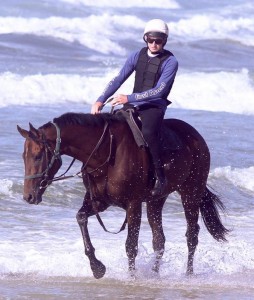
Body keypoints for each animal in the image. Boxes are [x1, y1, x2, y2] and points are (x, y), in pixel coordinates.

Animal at [17, 112, 228, 278]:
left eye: (37, 156)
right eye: (23, 156)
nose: (28, 197)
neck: (105, 152)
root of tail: (195, 136)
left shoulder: (133, 204)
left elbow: (131, 245)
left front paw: (131, 277)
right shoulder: (99, 202)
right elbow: (81, 217)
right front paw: (97, 268)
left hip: (190, 192)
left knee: (192, 235)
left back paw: (188, 275)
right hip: (156, 200)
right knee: (159, 240)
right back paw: (155, 274)